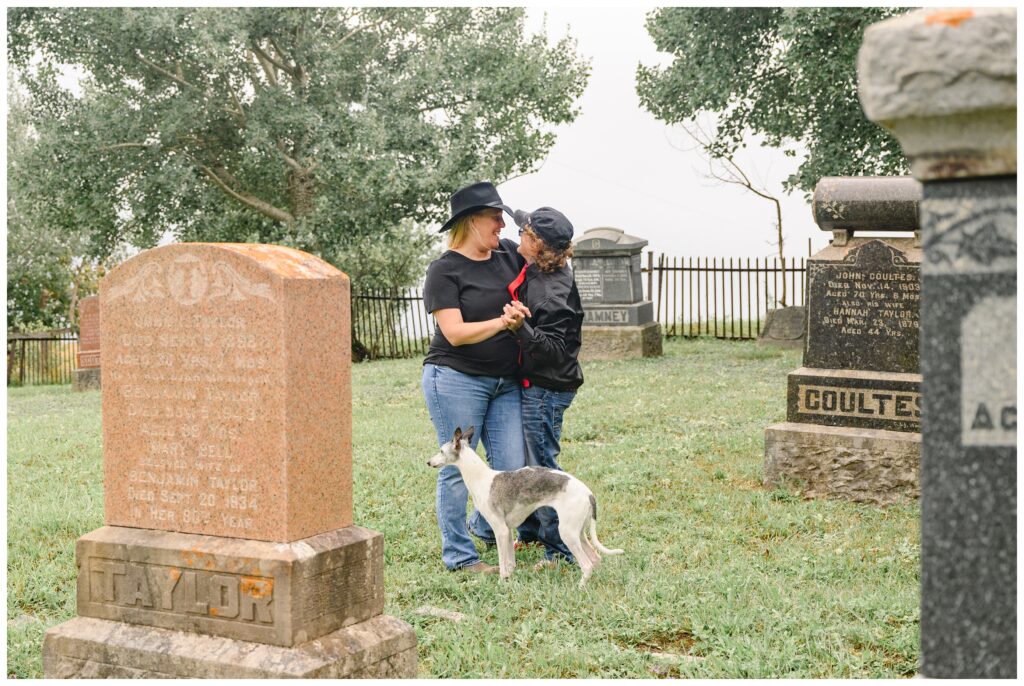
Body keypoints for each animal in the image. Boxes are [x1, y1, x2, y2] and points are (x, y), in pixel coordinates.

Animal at [425, 427, 622, 589]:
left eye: (441, 450)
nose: (428, 462)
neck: (481, 478)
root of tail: (588, 493)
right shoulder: (508, 531)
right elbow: (510, 563)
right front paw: (510, 579)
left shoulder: (500, 530)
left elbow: (503, 563)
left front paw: (501, 583)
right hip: (578, 532)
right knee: (596, 559)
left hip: (567, 533)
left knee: (587, 565)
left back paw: (580, 587)